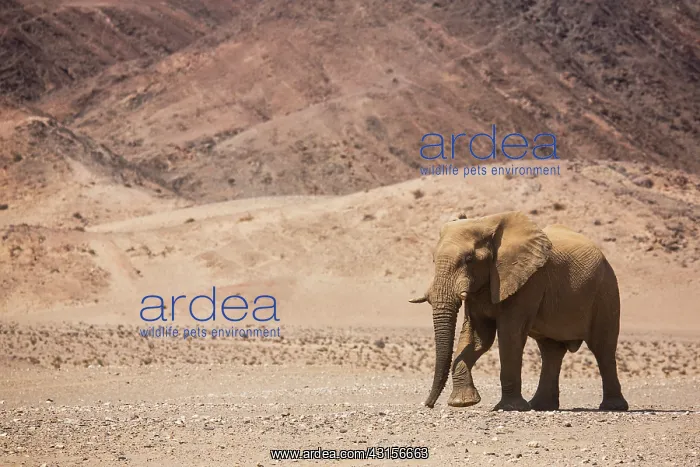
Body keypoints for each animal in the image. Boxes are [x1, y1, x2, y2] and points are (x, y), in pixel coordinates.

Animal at [409, 210, 629, 412]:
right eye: (433, 260)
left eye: (469, 259)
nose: (428, 405)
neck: (488, 223)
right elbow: (479, 338)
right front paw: (463, 403)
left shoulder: (528, 281)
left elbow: (509, 334)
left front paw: (510, 407)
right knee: (551, 351)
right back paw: (541, 406)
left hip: (606, 291)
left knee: (603, 348)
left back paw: (612, 407)